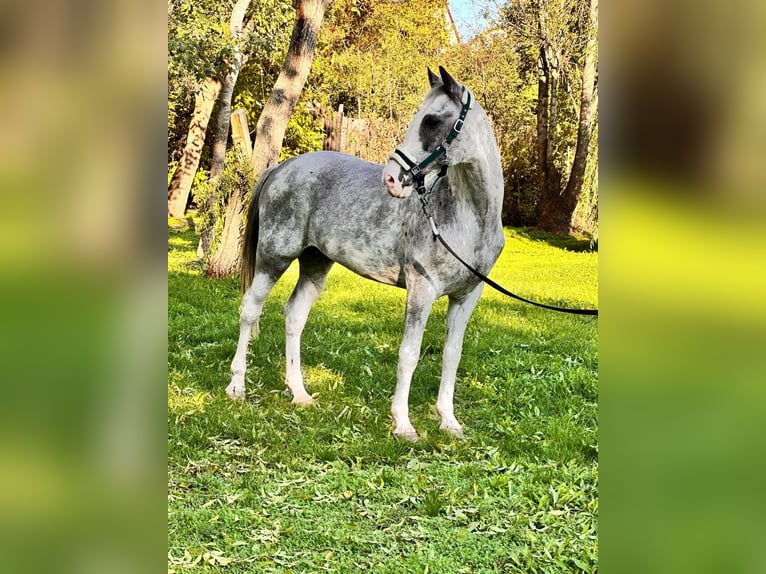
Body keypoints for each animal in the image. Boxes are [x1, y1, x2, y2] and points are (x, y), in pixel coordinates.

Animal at [226, 67, 505, 441]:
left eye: (431, 120)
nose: (392, 179)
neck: (468, 218)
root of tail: (283, 167)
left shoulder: (466, 296)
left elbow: (452, 354)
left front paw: (449, 421)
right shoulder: (422, 290)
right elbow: (409, 354)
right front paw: (403, 424)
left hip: (316, 264)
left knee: (294, 315)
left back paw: (299, 392)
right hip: (274, 258)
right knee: (250, 310)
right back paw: (237, 386)